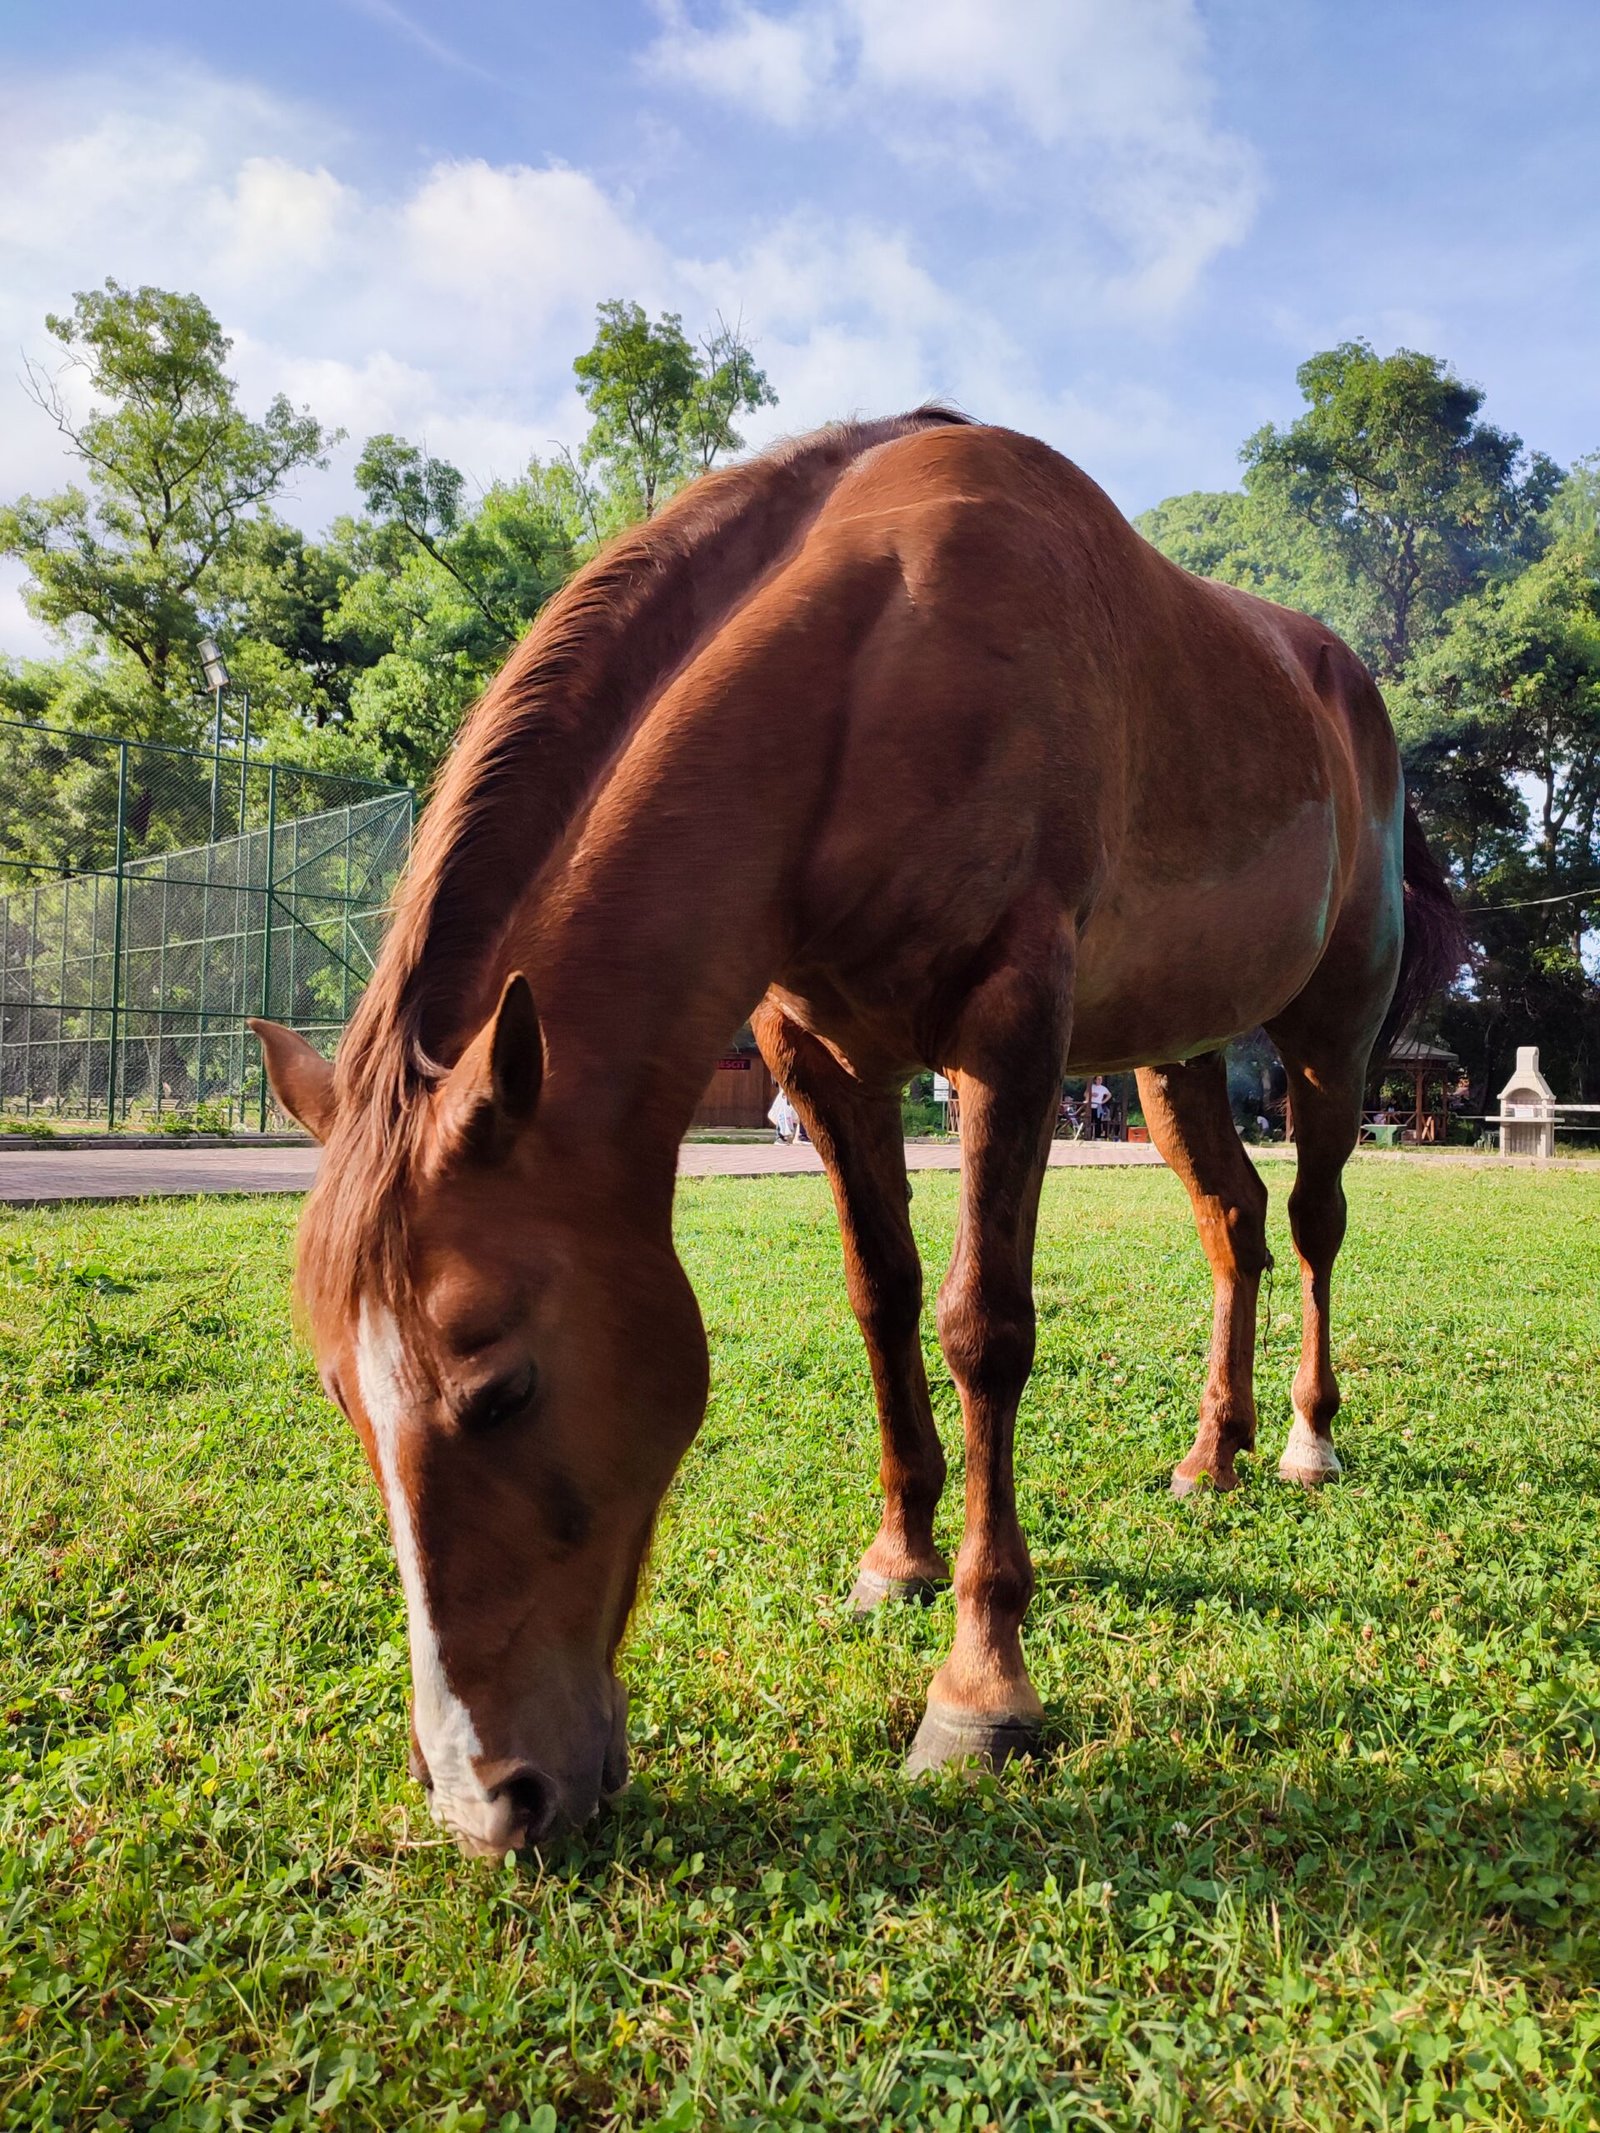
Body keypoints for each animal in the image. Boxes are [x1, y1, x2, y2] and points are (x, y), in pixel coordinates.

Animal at [253, 409, 1460, 1858]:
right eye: (341, 1399)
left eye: (503, 1390)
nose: (490, 1799)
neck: (869, 668)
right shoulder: (822, 1060)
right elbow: (880, 1300)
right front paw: (898, 1559)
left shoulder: (1010, 1033)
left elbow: (983, 1328)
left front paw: (981, 1688)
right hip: (1177, 1051)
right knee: (1233, 1224)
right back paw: (1209, 1453)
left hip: (1334, 1030)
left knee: (1314, 1222)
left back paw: (1301, 1440)